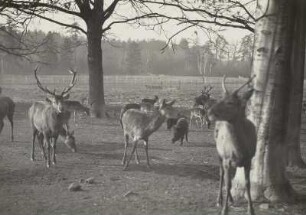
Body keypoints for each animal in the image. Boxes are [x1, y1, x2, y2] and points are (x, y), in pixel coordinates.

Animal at [207, 75, 256, 215]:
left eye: (230, 102)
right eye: (220, 99)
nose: (209, 112)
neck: (240, 150)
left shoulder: (249, 159)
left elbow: (247, 184)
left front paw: (251, 209)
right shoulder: (227, 159)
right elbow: (228, 183)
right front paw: (224, 210)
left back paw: (231, 199)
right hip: (219, 153)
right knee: (222, 175)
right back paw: (219, 200)